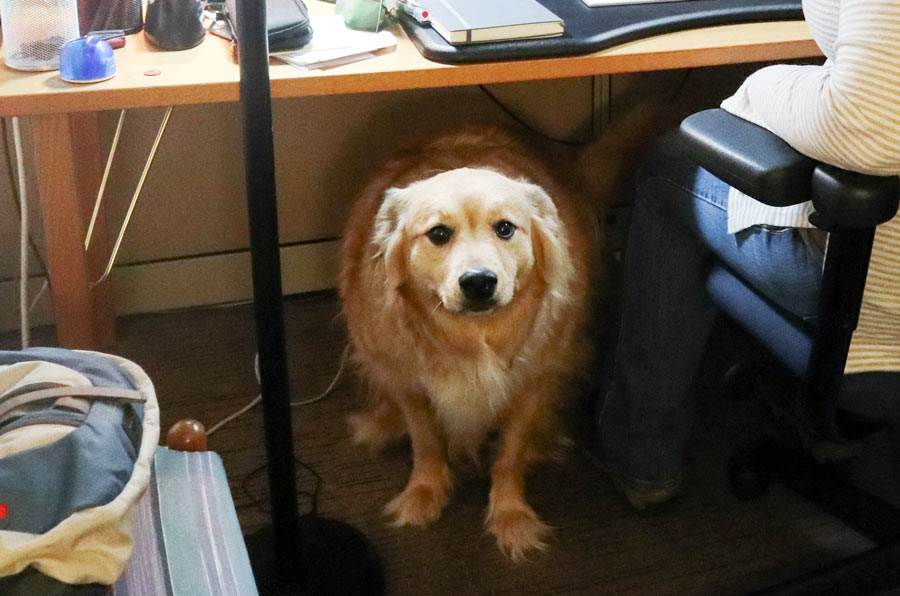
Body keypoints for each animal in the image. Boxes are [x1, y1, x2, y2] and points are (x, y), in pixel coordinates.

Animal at [340, 112, 676, 560]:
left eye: (505, 228)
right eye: (438, 234)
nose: (479, 282)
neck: (471, 337)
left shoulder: (531, 384)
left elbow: (509, 455)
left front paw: (511, 517)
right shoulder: (407, 382)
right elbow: (426, 443)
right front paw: (423, 493)